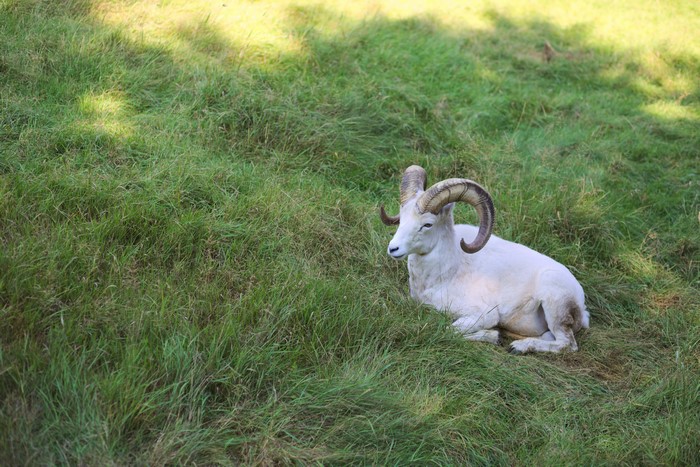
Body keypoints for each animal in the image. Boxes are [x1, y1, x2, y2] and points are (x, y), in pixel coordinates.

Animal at [380, 165, 589, 353]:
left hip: (554, 304)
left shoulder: (483, 315)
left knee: (567, 345)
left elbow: (449, 330)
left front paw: (494, 336)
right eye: (402, 218)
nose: (393, 249)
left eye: (427, 224)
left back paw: (518, 347)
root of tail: (580, 303)